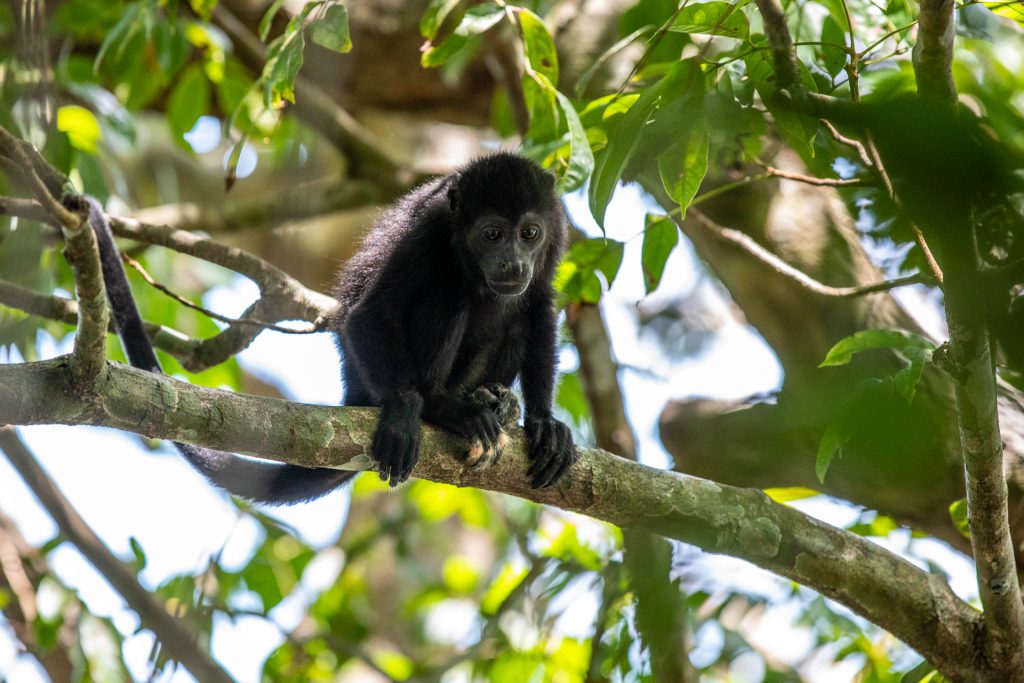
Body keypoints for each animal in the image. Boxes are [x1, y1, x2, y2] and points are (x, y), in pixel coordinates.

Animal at [81, 152, 577, 505]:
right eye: (492, 234)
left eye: (529, 233)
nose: (513, 263)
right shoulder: (429, 228)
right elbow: (370, 313)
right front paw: (404, 411)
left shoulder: (557, 233)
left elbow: (540, 306)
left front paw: (545, 421)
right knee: (446, 290)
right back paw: (442, 404)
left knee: (516, 314)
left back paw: (496, 397)